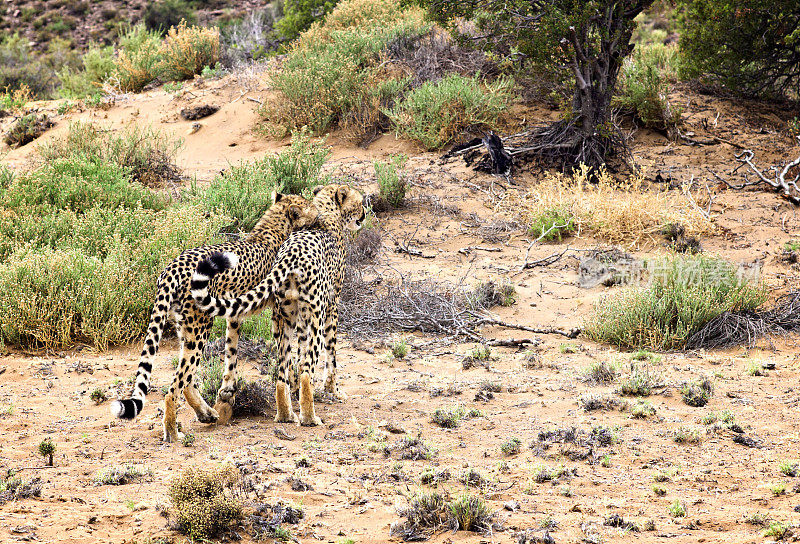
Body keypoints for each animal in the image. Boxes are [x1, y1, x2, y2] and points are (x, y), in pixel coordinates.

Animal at [110, 192, 322, 442]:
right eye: (310, 208)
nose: (319, 214)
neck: (272, 228)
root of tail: (172, 266)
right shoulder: (279, 308)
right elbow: (288, 354)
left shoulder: (235, 310)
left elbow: (231, 349)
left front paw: (228, 389)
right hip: (200, 325)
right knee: (176, 385)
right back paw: (172, 432)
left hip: (185, 327)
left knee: (187, 378)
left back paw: (206, 413)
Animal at [191, 185, 366, 428]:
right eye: (359, 203)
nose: (364, 215)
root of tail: (292, 255)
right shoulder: (331, 306)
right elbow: (330, 353)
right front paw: (333, 391)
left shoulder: (287, 316)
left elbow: (296, 356)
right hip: (314, 316)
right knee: (306, 368)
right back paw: (309, 418)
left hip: (285, 315)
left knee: (281, 371)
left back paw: (285, 413)